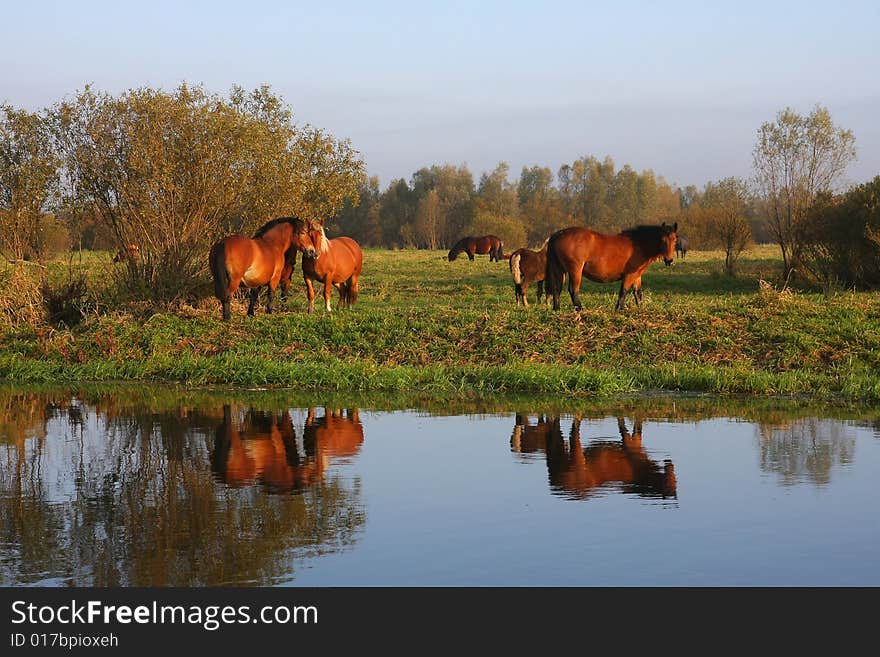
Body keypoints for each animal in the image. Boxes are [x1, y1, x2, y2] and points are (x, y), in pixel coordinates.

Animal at [512, 412, 676, 500]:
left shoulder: (636, 440)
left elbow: (636, 423)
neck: (641, 473)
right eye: (670, 482)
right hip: (577, 455)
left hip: (560, 450)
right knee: (573, 429)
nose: (670, 464)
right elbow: (624, 425)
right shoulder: (631, 443)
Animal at [544, 222, 680, 312]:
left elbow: (638, 293)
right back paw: (581, 309)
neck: (638, 245)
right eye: (662, 240)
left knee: (556, 290)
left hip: (560, 270)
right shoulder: (629, 275)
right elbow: (623, 292)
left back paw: (557, 309)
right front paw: (619, 310)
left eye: (674, 239)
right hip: (575, 271)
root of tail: (558, 234)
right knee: (573, 290)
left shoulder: (637, 276)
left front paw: (639, 309)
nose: (669, 260)